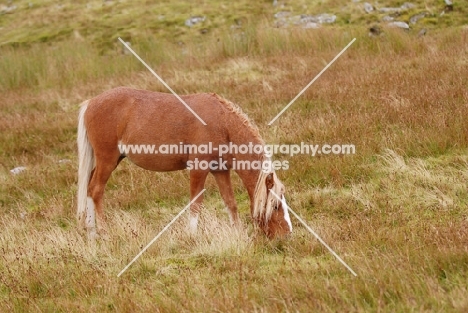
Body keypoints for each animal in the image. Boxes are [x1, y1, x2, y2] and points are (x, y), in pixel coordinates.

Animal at [76, 85, 292, 236]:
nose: (288, 234)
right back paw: (103, 232)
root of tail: (91, 102)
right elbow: (196, 203)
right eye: (275, 206)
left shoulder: (220, 170)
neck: (222, 123)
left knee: (89, 188)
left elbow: (230, 202)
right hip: (107, 160)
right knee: (96, 189)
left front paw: (237, 232)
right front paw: (192, 236)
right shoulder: (198, 169)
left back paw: (92, 234)